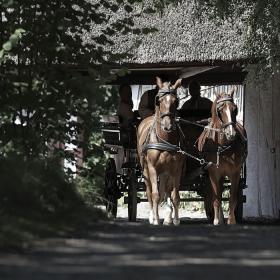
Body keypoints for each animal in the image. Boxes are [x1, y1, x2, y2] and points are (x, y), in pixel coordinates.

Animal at [137, 77, 185, 226]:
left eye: (176, 101)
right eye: (159, 100)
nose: (168, 126)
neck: (165, 141)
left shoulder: (176, 169)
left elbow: (175, 196)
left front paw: (176, 219)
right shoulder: (152, 168)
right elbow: (155, 194)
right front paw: (156, 219)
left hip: (165, 172)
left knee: (166, 190)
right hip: (146, 170)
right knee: (149, 191)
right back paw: (152, 216)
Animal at [197, 88, 247, 225]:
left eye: (235, 109)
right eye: (220, 110)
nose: (231, 134)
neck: (222, 146)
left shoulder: (235, 173)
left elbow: (232, 198)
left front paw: (231, 220)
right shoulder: (213, 173)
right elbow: (216, 198)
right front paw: (216, 220)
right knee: (217, 194)